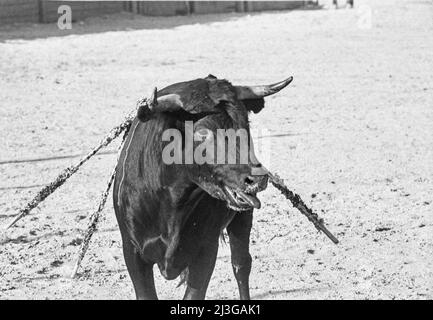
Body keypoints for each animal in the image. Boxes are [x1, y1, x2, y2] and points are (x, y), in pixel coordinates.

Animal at [113, 74, 292, 298]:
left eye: (246, 124)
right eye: (202, 133)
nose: (257, 179)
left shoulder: (206, 250)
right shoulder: (132, 251)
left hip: (243, 217)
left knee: (241, 265)